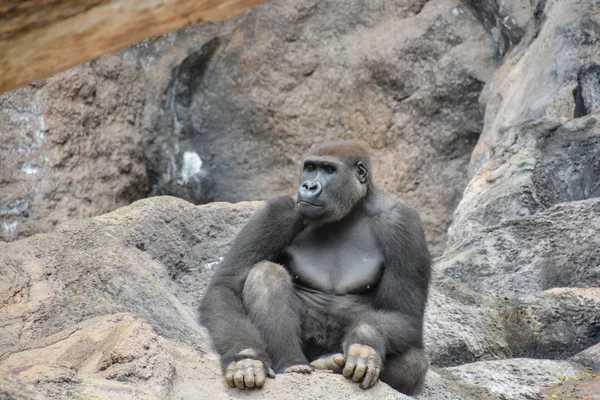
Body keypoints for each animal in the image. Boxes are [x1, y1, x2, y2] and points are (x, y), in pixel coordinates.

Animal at [200, 140, 432, 394]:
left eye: (329, 170)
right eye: (311, 168)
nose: (309, 186)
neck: (352, 211)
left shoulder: (404, 224)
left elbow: (404, 314)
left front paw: (364, 343)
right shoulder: (278, 212)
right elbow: (226, 287)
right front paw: (245, 357)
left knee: (414, 363)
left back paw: (331, 362)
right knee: (266, 273)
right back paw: (293, 363)